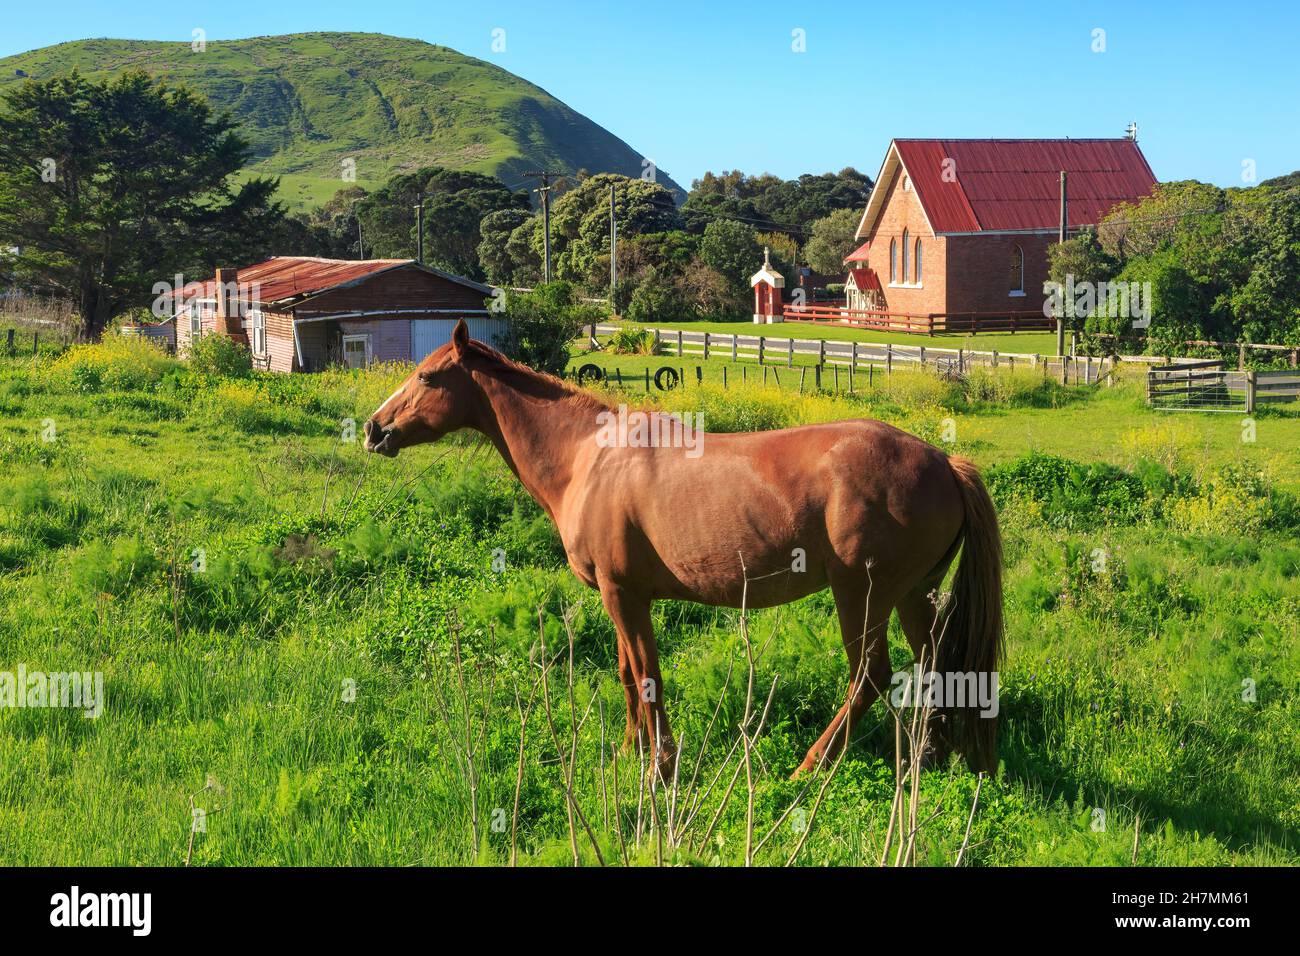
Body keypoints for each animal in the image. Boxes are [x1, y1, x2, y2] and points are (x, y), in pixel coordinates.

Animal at [366, 321, 1003, 780]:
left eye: (427, 377)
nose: (374, 429)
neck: (588, 457)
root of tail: (944, 461)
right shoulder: (621, 597)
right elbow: (627, 672)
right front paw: (629, 752)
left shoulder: (625, 595)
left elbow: (647, 675)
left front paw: (661, 766)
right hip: (913, 596)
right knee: (934, 667)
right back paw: (929, 759)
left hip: (861, 596)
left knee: (870, 677)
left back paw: (810, 767)